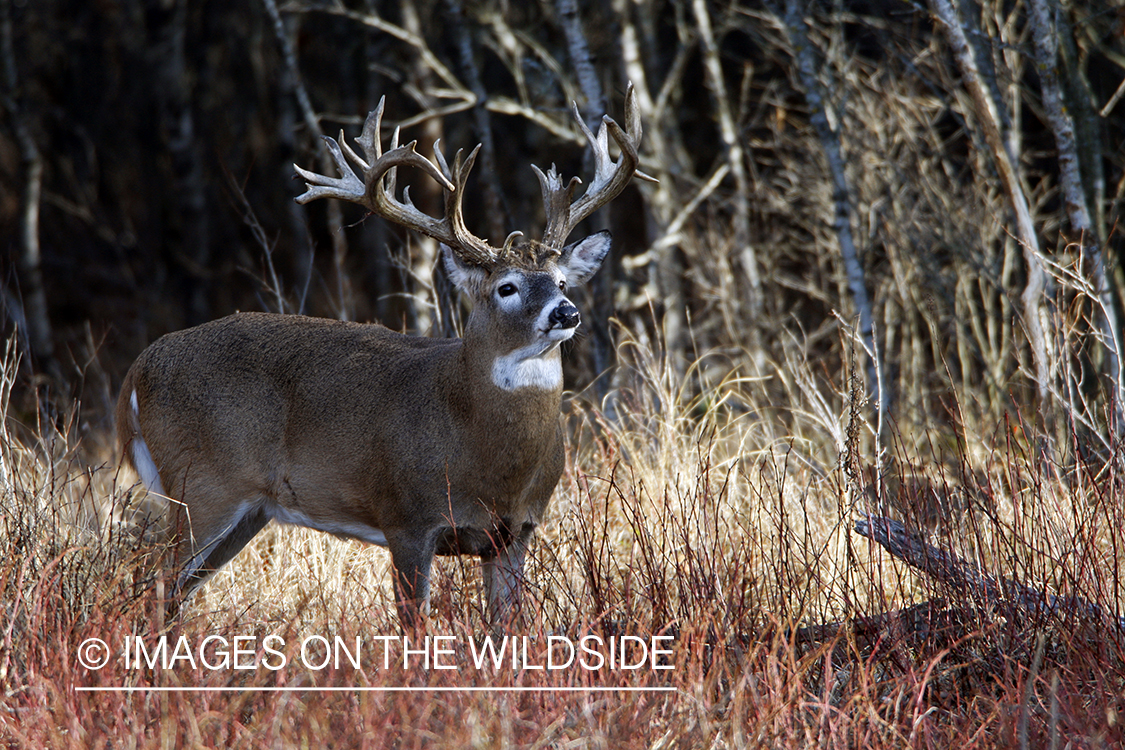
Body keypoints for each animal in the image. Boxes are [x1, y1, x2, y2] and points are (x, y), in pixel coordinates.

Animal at [116, 86, 652, 629]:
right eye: (507, 287)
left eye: (563, 281)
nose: (566, 312)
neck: (477, 444)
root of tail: (137, 370)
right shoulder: (407, 517)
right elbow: (414, 626)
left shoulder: (514, 533)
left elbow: (508, 627)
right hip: (201, 485)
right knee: (151, 586)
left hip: (246, 511)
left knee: (172, 594)